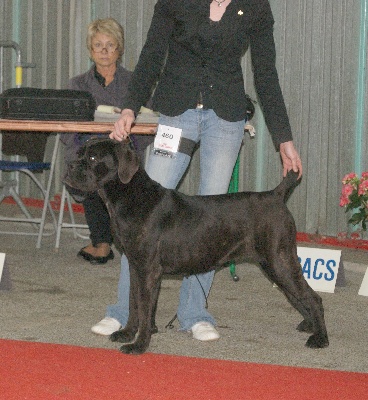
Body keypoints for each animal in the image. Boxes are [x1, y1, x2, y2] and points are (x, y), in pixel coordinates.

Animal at [64, 137, 330, 354]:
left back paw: (320, 338)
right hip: (275, 263)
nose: (69, 166)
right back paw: (309, 325)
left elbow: (144, 307)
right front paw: (128, 333)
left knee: (313, 298)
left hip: (279, 260)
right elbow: (134, 303)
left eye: (92, 157)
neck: (127, 196)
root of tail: (276, 194)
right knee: (299, 295)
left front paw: (139, 345)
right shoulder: (135, 266)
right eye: (80, 153)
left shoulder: (148, 269)